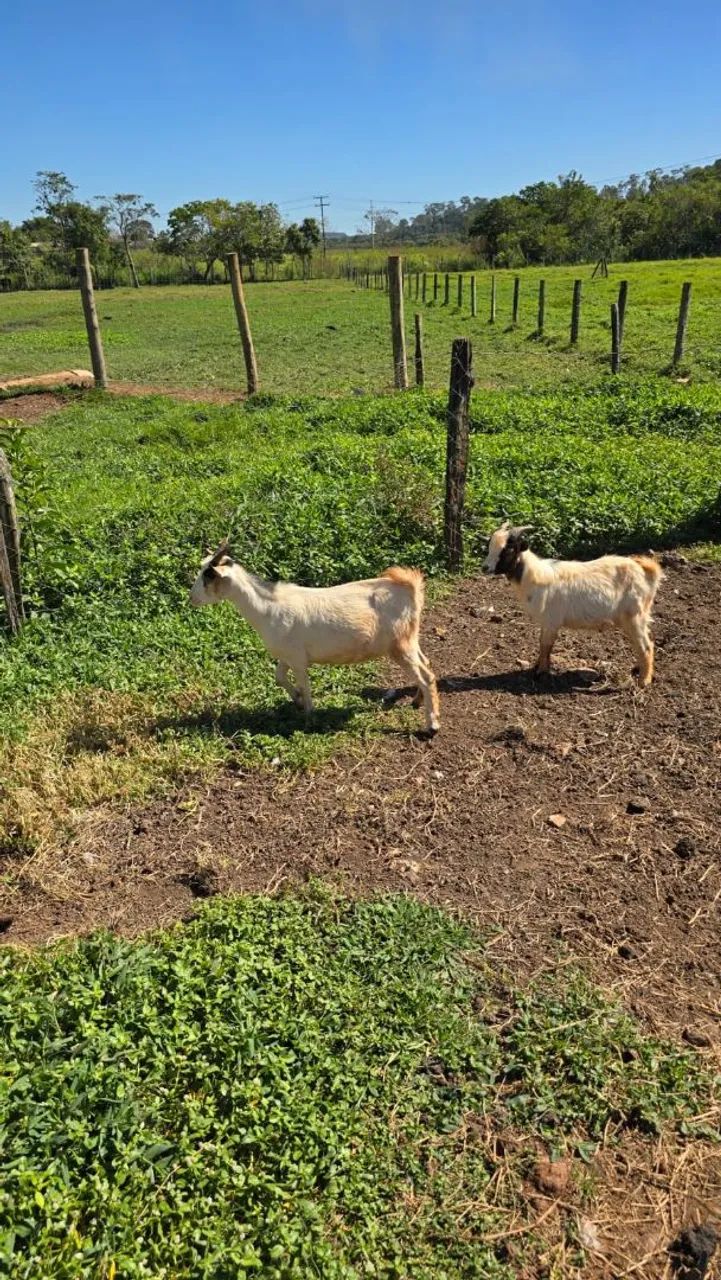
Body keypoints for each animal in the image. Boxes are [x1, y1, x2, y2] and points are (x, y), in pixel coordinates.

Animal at [190, 543, 440, 733]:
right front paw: (297, 700)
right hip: (411, 639)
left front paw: (308, 716)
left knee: (426, 676)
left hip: (400, 645)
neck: (268, 609)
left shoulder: (298, 659)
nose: (191, 598)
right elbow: (279, 677)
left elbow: (305, 684)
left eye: (208, 576)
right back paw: (417, 701)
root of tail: (410, 588)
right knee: (427, 664)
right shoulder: (287, 655)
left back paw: (432, 725)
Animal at [484, 523, 663, 685]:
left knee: (646, 646)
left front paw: (541, 672)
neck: (534, 576)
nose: (485, 568)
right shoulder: (546, 622)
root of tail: (646, 571)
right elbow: (542, 643)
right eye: (490, 545)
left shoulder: (552, 620)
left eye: (508, 549)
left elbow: (546, 646)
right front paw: (537, 667)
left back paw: (644, 681)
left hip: (634, 616)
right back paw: (638, 670)